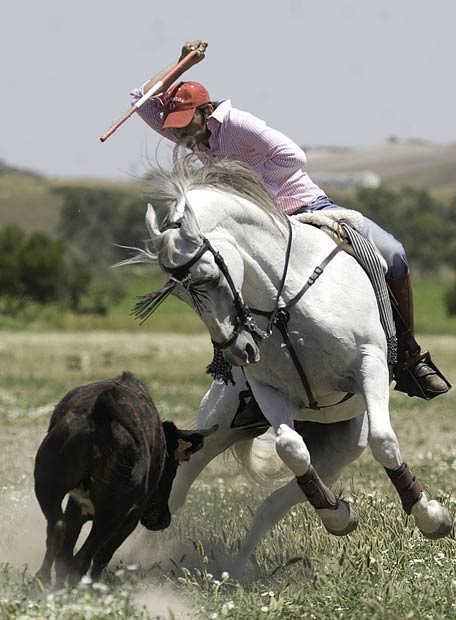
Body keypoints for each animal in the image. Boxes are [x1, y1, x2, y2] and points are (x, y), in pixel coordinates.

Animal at [124, 155, 452, 576]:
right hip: (218, 426)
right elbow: (291, 449)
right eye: (179, 293)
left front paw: (430, 516)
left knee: (272, 505)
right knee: (184, 485)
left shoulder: (370, 366)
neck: (284, 301)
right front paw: (337, 514)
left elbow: (383, 443)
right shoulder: (269, 392)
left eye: (209, 278)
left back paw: (236, 568)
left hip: (339, 448)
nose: (239, 351)